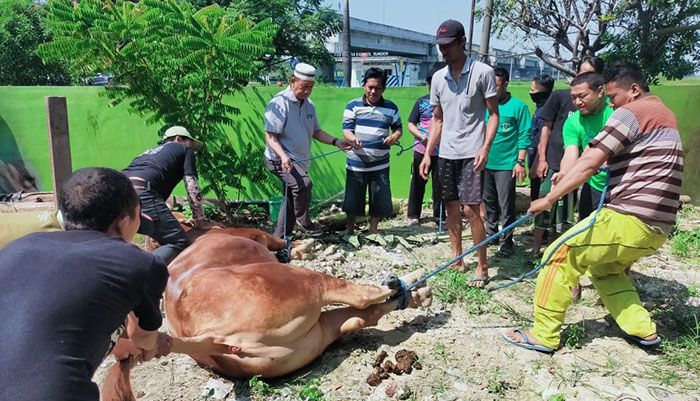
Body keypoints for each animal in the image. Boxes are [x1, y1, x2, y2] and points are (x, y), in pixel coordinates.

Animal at [102, 227, 432, 398]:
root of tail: (211, 337)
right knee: (359, 297)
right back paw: (405, 282)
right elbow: (277, 238)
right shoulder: (255, 233)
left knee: (358, 318)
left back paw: (414, 294)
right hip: (302, 284)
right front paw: (305, 245)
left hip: (314, 335)